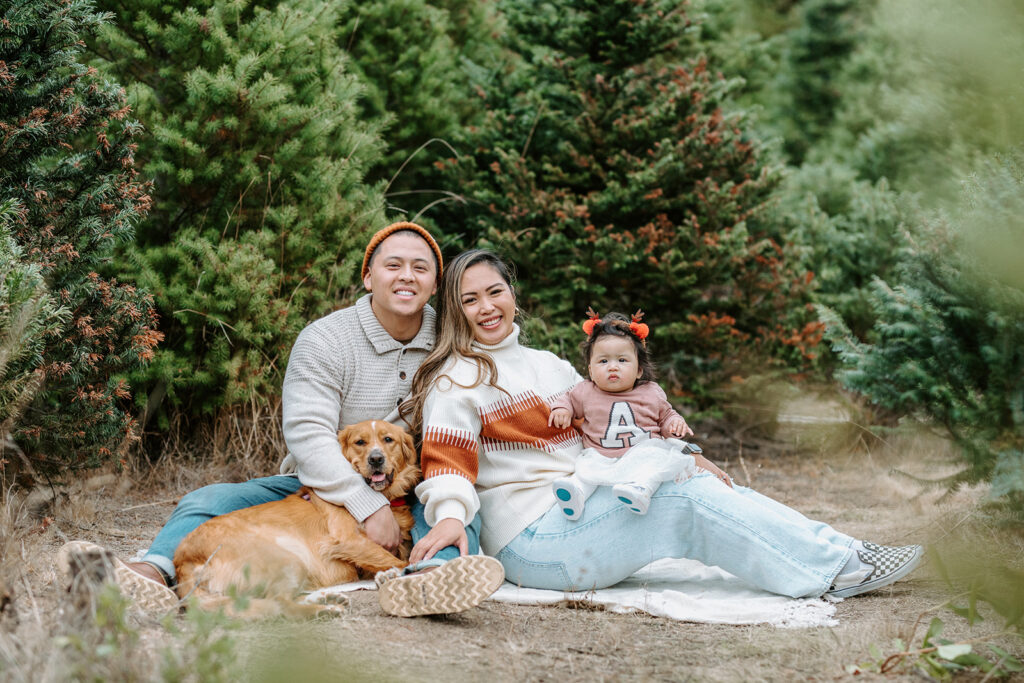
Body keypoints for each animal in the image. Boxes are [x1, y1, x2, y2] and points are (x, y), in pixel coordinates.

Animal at [174, 421, 417, 618]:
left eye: (388, 440)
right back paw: (325, 610)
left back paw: (326, 598)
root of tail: (183, 560)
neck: (383, 496)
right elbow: (402, 562)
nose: (376, 459)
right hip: (288, 559)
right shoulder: (348, 540)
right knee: (281, 604)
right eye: (360, 442)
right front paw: (395, 574)